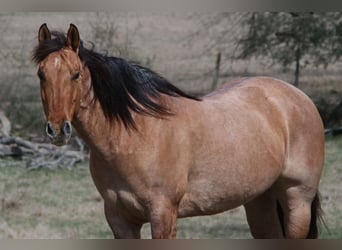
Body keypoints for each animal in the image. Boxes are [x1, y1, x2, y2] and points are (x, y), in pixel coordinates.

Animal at [33, 23, 324, 238]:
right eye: (41, 74)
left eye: (75, 74)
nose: (57, 130)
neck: (134, 136)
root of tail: (298, 97)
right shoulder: (119, 219)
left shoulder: (163, 214)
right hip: (259, 200)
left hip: (297, 201)